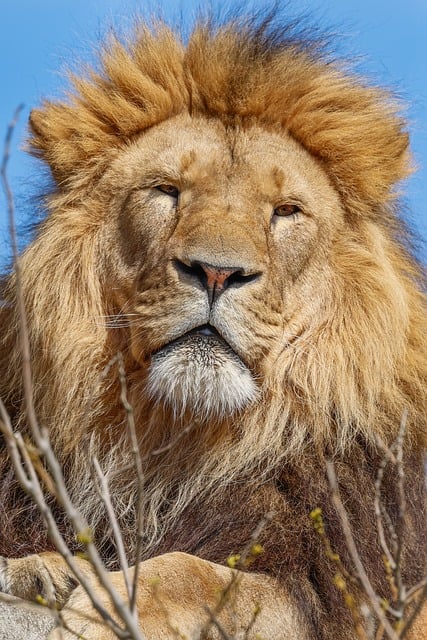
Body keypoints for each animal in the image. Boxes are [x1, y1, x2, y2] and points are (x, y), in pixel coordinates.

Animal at [0, 11, 426, 640]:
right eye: (166, 191)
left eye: (286, 211)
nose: (217, 272)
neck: (180, 445)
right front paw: (38, 569)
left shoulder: (338, 594)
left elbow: (188, 571)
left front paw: (97, 612)